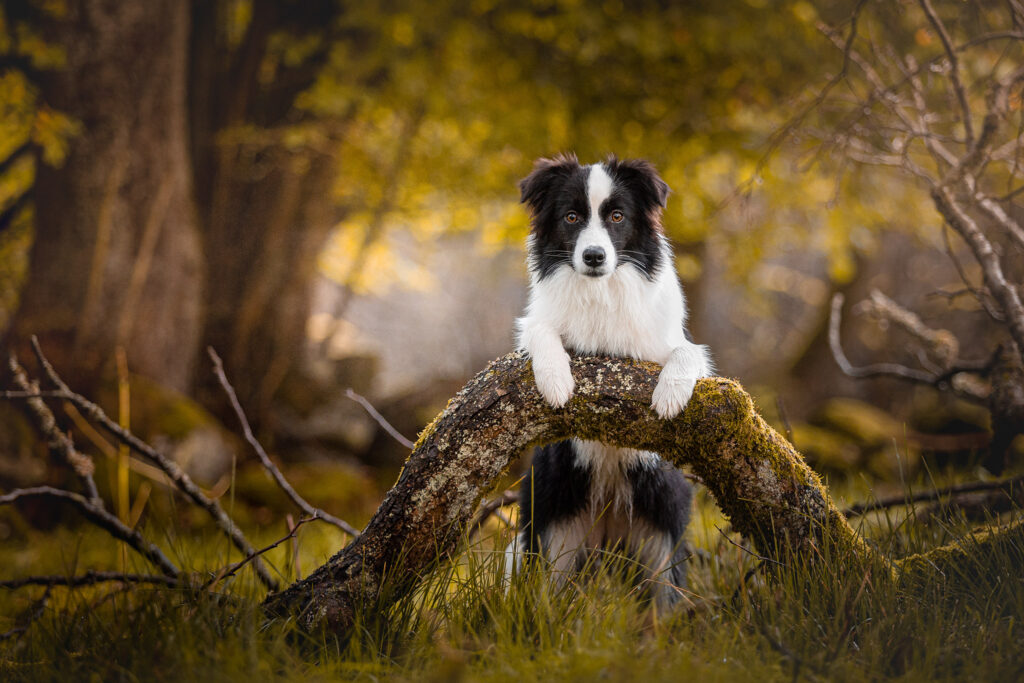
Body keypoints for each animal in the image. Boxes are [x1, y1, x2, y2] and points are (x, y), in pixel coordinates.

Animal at [505, 153, 712, 602]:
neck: (601, 291)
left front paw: (669, 397)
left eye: (617, 216)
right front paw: (556, 382)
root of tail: (608, 517)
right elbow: (541, 331)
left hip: (661, 541)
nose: (595, 256)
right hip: (553, 536)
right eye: (571, 217)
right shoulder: (535, 325)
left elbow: (688, 351)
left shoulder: (674, 347)